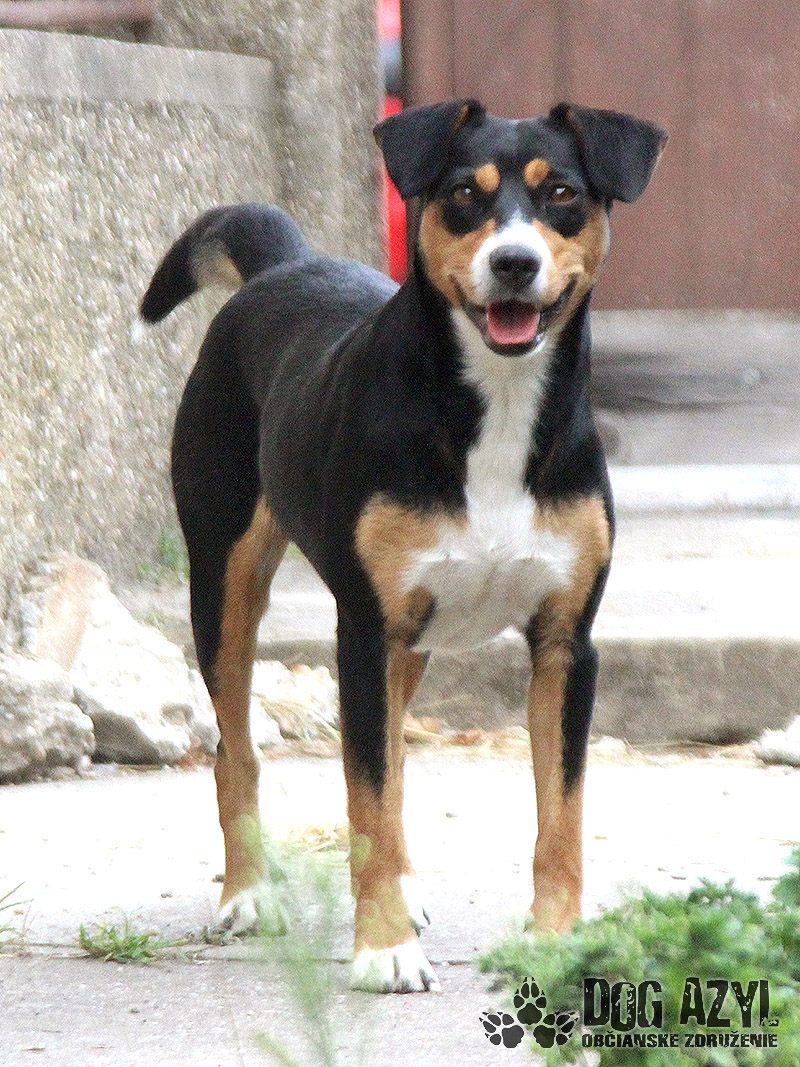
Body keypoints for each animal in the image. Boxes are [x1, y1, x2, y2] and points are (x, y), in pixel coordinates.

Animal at [140, 99, 666, 993]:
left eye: (561, 193)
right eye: (463, 194)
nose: (515, 261)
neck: (493, 411)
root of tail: (288, 265)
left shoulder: (566, 643)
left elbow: (558, 816)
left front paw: (555, 940)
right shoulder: (361, 632)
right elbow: (366, 795)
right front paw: (382, 947)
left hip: (410, 642)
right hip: (226, 585)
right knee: (234, 752)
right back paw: (250, 894)